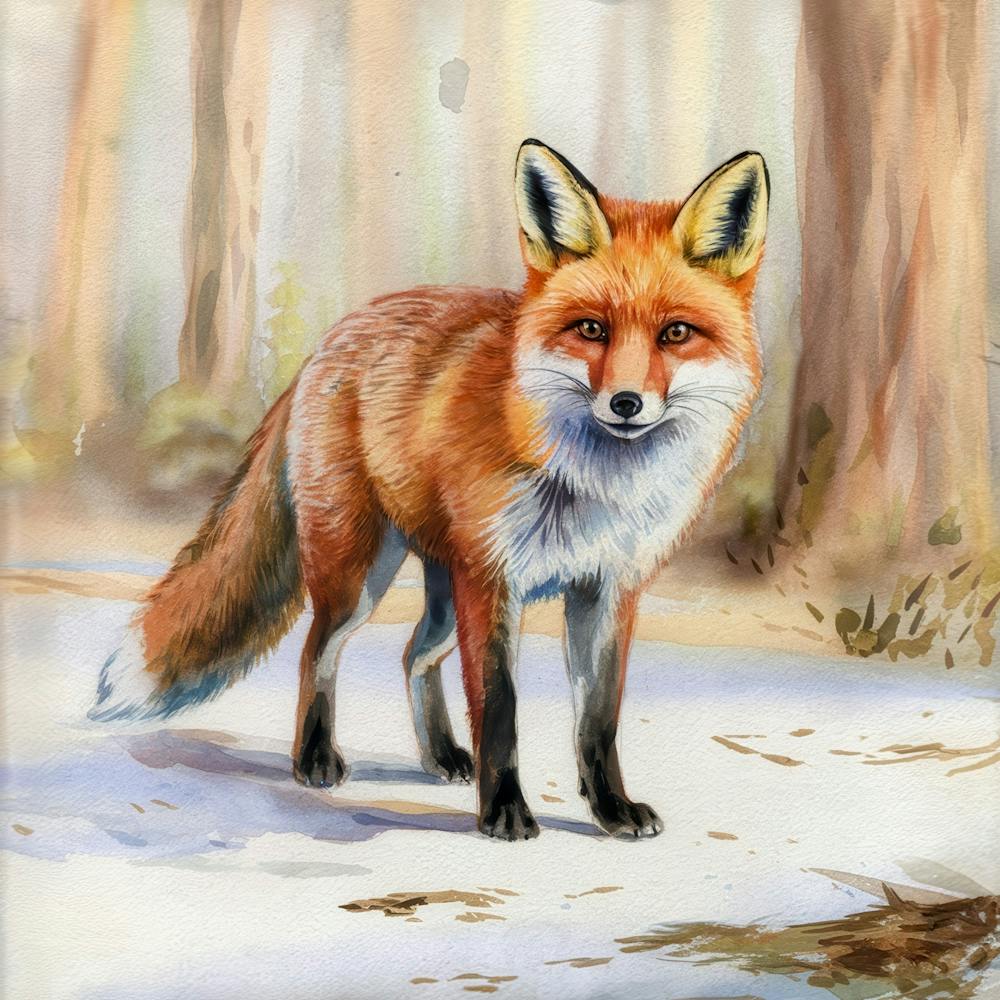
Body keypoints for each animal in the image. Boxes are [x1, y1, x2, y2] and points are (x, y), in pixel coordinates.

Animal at [91, 140, 768, 841]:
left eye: (675, 333)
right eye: (591, 330)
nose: (627, 403)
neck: (591, 486)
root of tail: (328, 343)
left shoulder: (607, 591)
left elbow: (597, 723)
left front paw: (609, 810)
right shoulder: (493, 582)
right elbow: (499, 710)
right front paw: (505, 813)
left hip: (444, 593)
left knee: (414, 654)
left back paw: (440, 755)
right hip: (360, 579)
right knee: (315, 652)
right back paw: (314, 759)